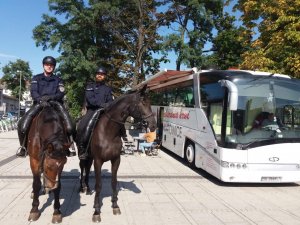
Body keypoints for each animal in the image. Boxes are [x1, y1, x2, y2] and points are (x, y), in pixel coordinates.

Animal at [77, 85, 157, 222]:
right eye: (142, 102)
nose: (153, 125)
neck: (108, 131)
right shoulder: (98, 161)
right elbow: (99, 185)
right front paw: (97, 211)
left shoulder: (116, 160)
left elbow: (114, 182)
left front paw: (115, 205)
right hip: (83, 154)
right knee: (82, 167)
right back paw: (82, 188)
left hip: (90, 157)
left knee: (87, 168)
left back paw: (87, 188)